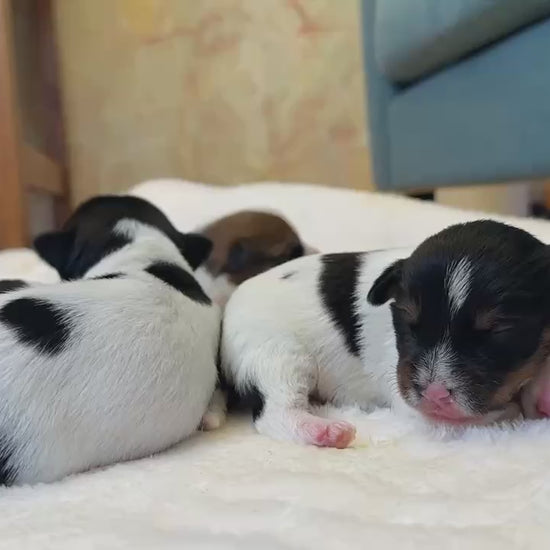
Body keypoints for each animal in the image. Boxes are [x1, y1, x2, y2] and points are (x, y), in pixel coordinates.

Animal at [221, 220, 550, 448]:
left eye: (499, 331)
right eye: (408, 321)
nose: (434, 394)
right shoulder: (412, 401)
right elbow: (499, 413)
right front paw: (519, 407)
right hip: (277, 355)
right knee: (274, 413)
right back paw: (324, 431)